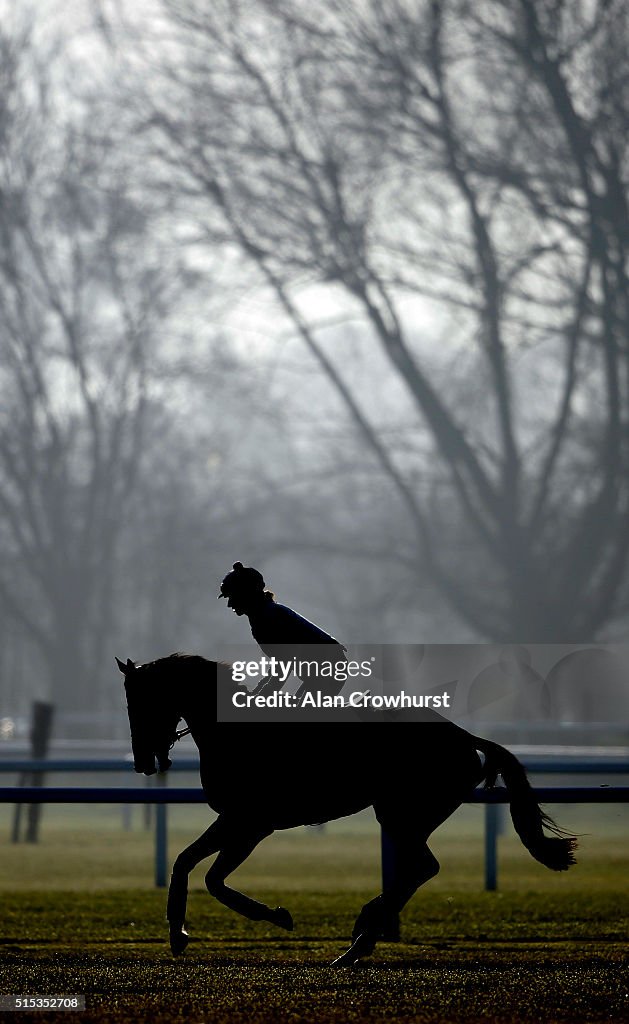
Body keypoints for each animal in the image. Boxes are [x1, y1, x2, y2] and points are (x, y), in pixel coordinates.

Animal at [115, 651, 577, 962]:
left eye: (140, 702)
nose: (141, 762)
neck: (231, 733)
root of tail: (466, 738)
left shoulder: (250, 822)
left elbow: (211, 878)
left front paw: (277, 915)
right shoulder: (240, 822)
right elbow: (185, 863)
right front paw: (178, 934)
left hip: (400, 813)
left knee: (422, 867)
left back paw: (360, 939)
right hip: (407, 816)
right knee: (417, 870)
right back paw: (361, 937)